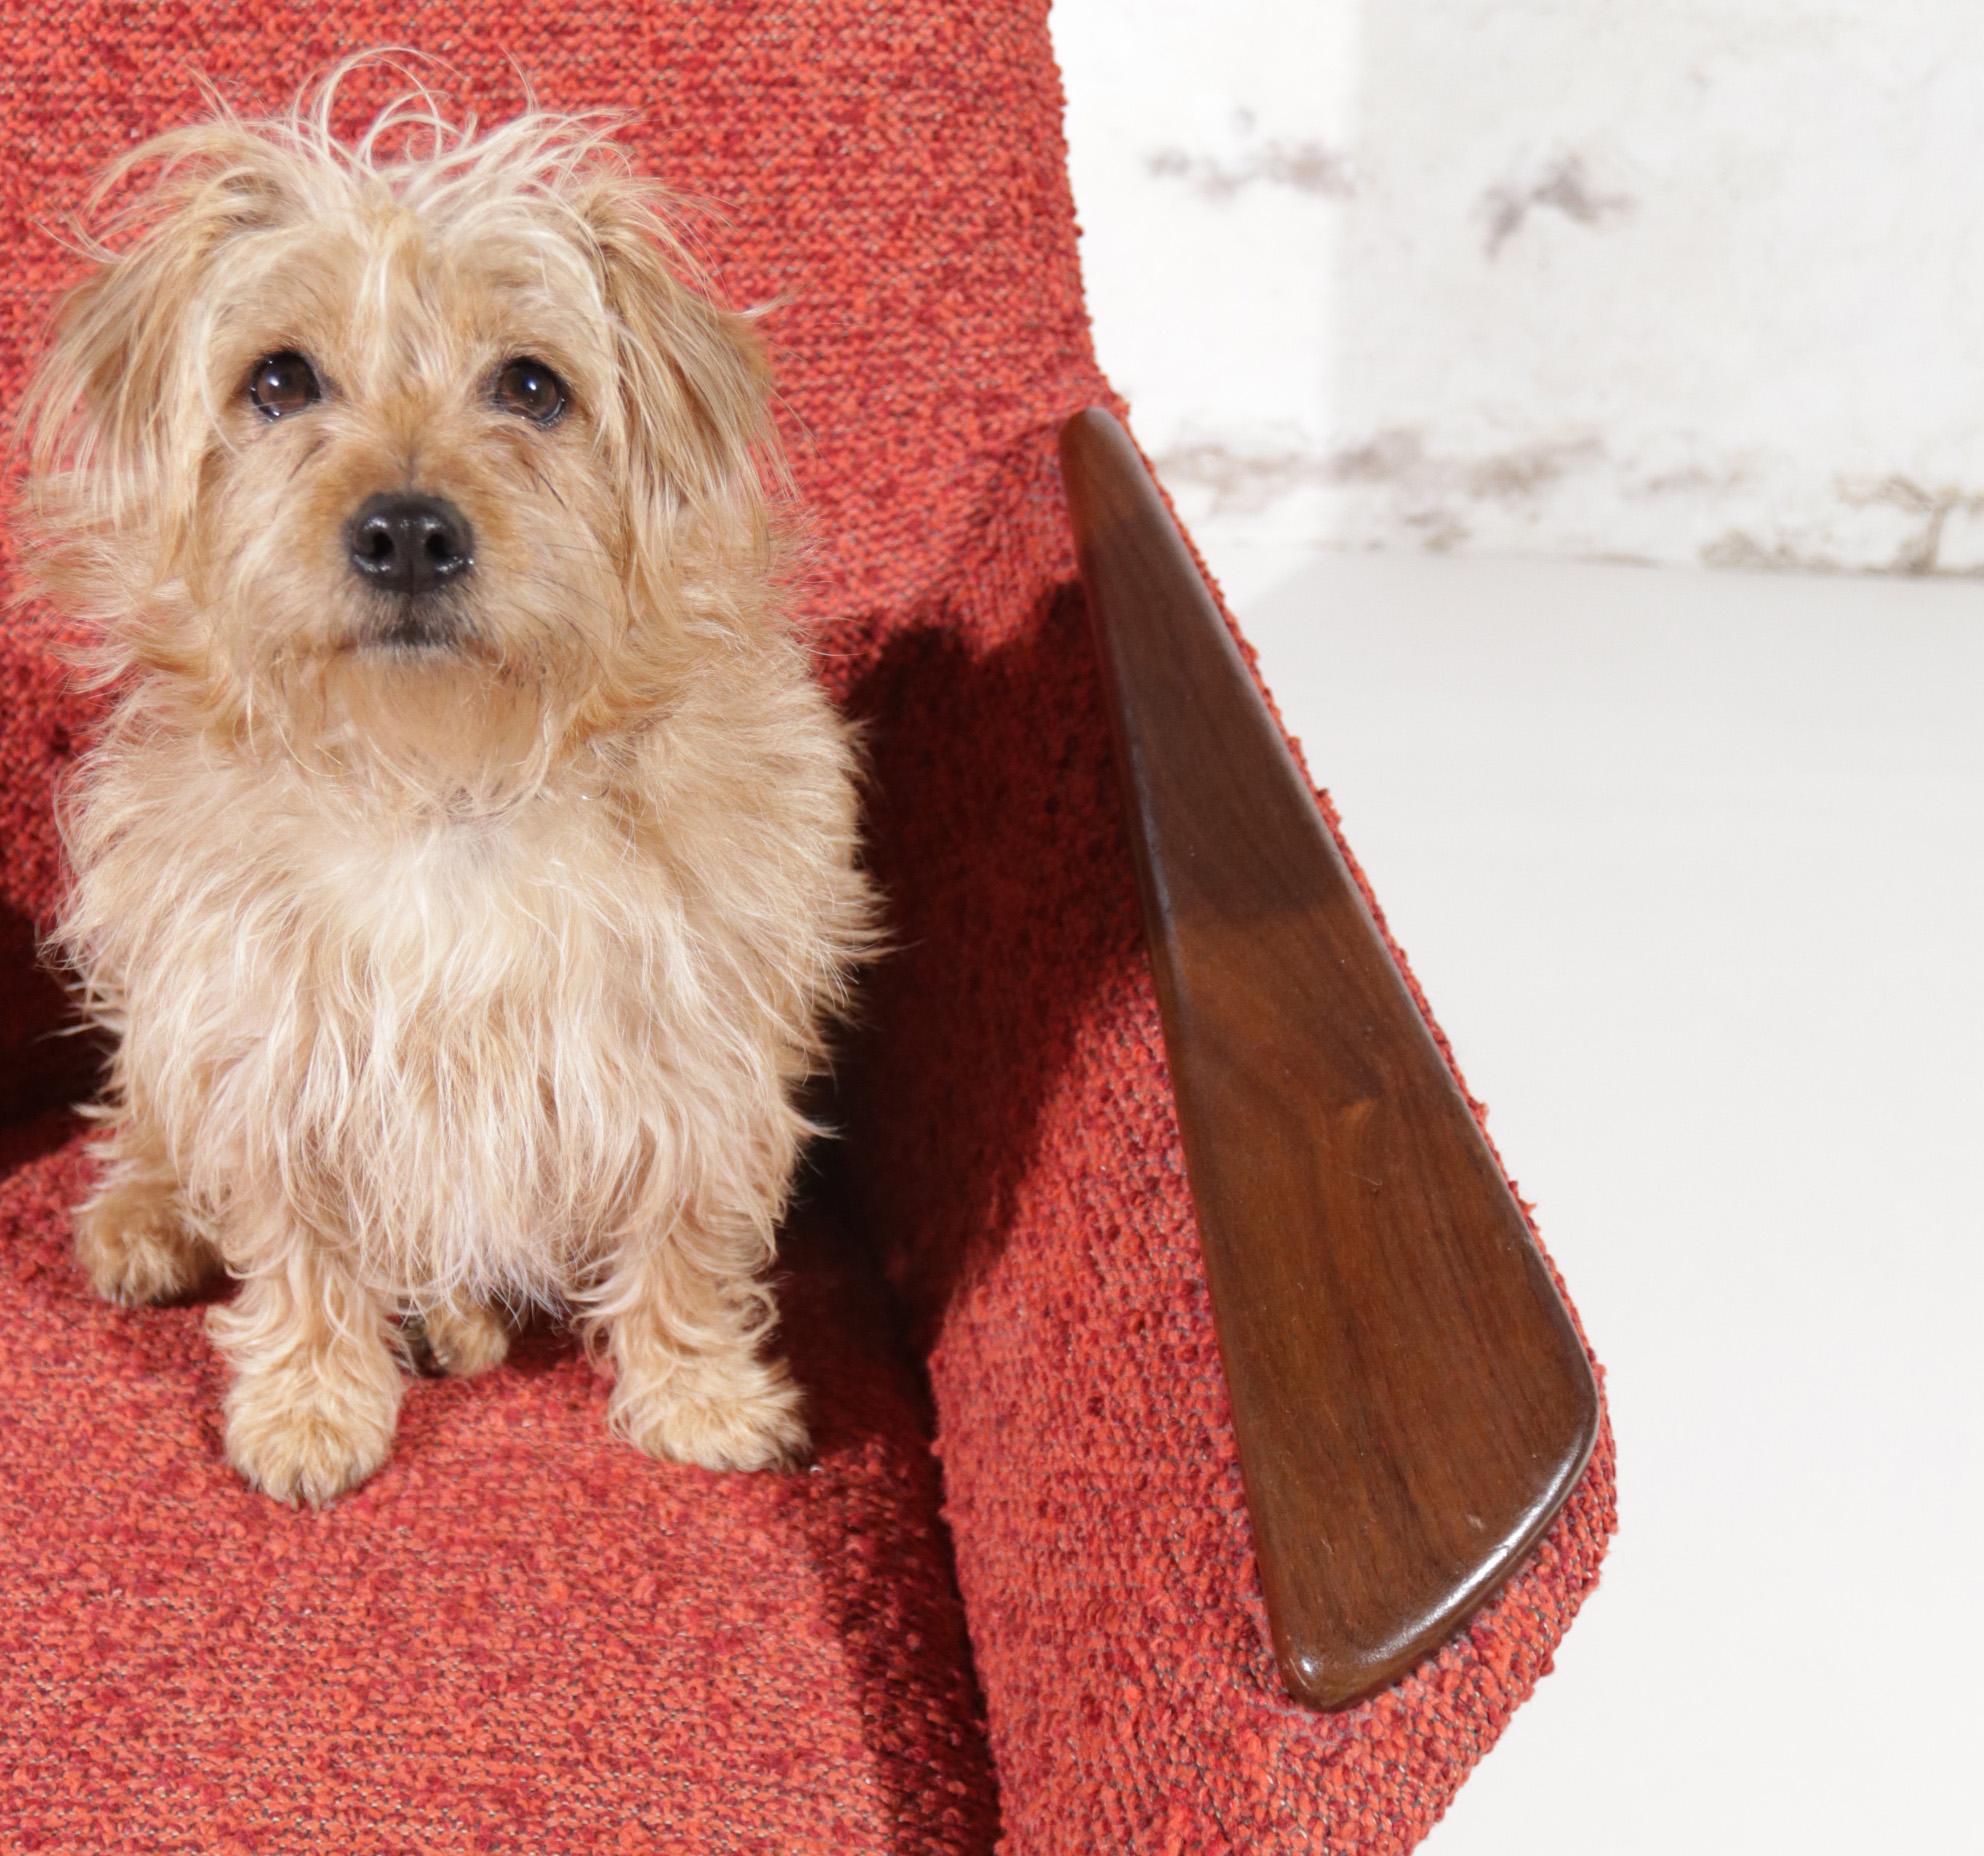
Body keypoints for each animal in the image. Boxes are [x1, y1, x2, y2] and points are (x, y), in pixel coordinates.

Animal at [21, 79, 876, 1516]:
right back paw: (149, 1218)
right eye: (279, 378)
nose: (408, 529)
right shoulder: (266, 1036)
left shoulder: (695, 1042)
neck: (440, 781)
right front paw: (312, 1403)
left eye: (531, 385)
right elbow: (296, 1238)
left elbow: (685, 1230)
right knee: (147, 1113)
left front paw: (700, 1394)